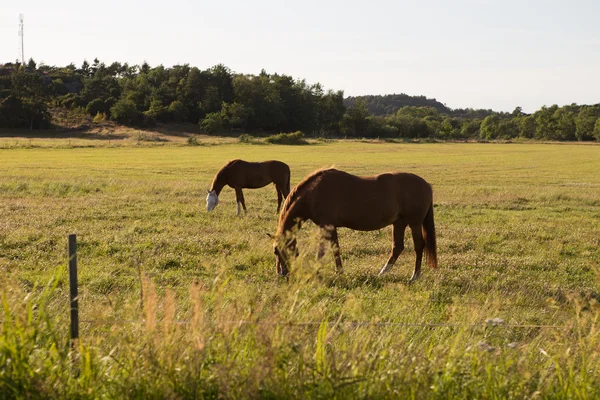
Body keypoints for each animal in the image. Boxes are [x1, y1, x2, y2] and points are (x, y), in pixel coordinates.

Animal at [272, 166, 436, 282]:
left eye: (276, 251)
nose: (281, 274)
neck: (313, 193)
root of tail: (427, 185)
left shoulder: (327, 225)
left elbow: (324, 250)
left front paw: (319, 271)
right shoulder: (330, 227)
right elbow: (335, 248)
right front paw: (339, 271)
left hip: (414, 223)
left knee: (419, 246)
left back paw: (414, 276)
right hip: (399, 222)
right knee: (397, 247)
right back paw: (382, 273)